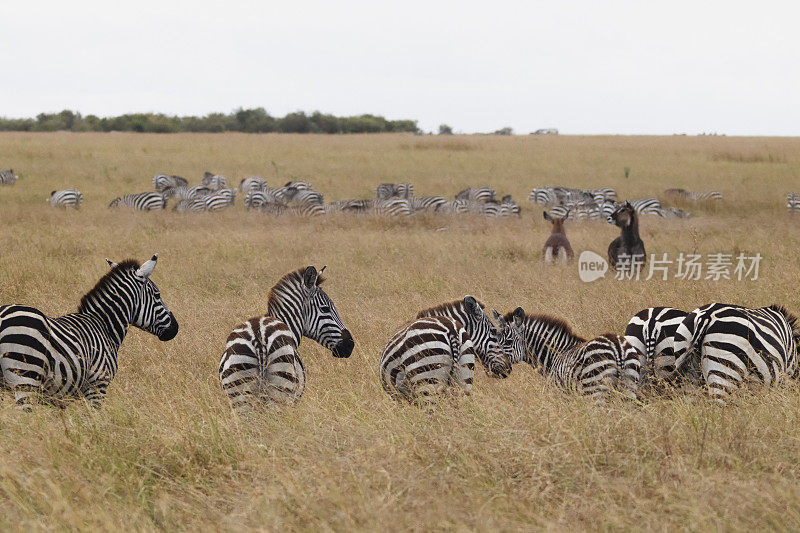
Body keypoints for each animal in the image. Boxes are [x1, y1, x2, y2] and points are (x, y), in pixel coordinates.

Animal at [506, 310, 644, 402]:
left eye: (507, 341)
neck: (557, 353)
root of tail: (617, 347)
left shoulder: (562, 393)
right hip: (629, 386)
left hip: (595, 388)